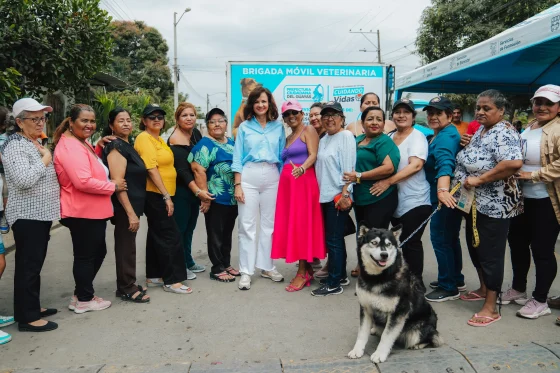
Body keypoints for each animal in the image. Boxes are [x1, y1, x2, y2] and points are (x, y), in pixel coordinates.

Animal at [346, 222, 442, 362]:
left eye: (388, 244)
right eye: (374, 243)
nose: (384, 255)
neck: (378, 278)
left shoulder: (398, 312)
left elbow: (386, 336)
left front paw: (379, 354)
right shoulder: (365, 307)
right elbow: (362, 333)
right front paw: (357, 350)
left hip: (417, 331)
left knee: (433, 338)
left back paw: (419, 344)